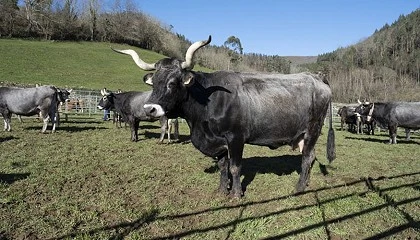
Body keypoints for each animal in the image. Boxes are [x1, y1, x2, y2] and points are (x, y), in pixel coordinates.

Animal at [111, 35, 334, 197]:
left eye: (173, 82)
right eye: (154, 82)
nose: (150, 109)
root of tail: (315, 76)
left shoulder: (235, 138)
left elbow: (235, 167)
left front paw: (236, 194)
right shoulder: (219, 143)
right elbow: (222, 167)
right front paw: (221, 191)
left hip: (313, 130)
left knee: (306, 158)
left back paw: (298, 188)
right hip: (303, 136)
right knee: (310, 157)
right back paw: (305, 183)